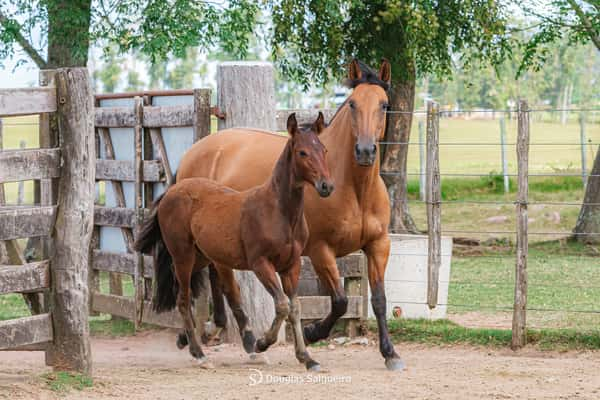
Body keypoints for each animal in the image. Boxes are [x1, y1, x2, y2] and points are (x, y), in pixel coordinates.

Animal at [135, 111, 332, 368]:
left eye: (324, 150)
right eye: (302, 152)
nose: (326, 186)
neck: (278, 211)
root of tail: (172, 191)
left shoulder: (291, 265)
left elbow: (295, 307)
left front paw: (306, 357)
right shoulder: (261, 264)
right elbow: (281, 305)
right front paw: (261, 343)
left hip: (200, 256)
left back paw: (186, 339)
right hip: (183, 256)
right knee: (183, 300)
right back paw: (199, 354)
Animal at [178, 59, 404, 372]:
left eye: (383, 104)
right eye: (352, 104)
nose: (365, 151)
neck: (355, 188)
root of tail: (196, 150)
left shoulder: (378, 245)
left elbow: (380, 300)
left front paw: (390, 353)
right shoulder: (321, 251)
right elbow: (340, 301)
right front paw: (310, 333)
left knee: (215, 275)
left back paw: (212, 329)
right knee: (219, 281)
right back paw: (243, 341)